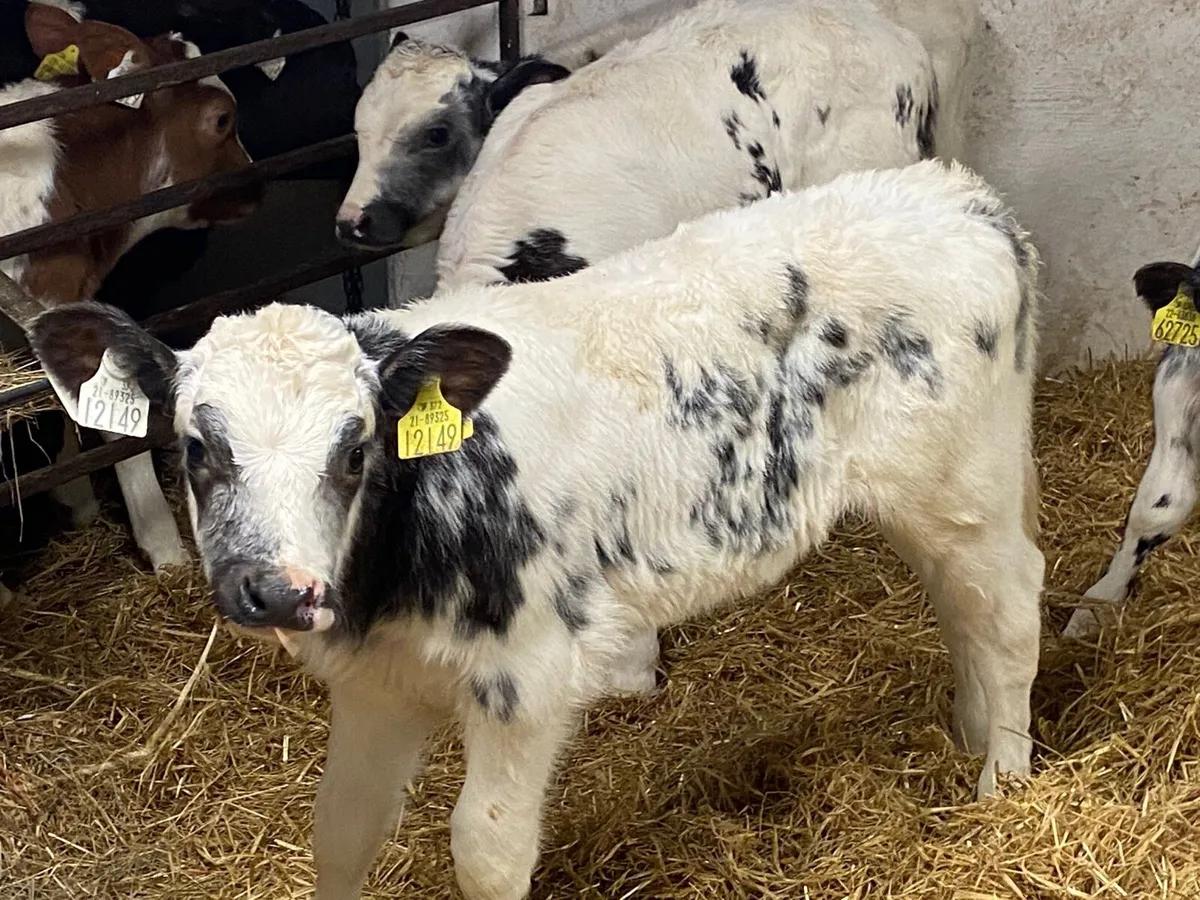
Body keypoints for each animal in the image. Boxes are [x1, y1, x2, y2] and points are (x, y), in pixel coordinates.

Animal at [31, 158, 1044, 900]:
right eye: (197, 447)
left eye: (355, 448)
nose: (276, 589)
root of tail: (959, 193)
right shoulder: (377, 685)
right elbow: (340, 832)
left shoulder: (529, 675)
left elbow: (485, 849)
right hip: (924, 501)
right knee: (960, 605)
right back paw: (968, 731)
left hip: (968, 482)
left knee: (1011, 607)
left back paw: (1004, 783)